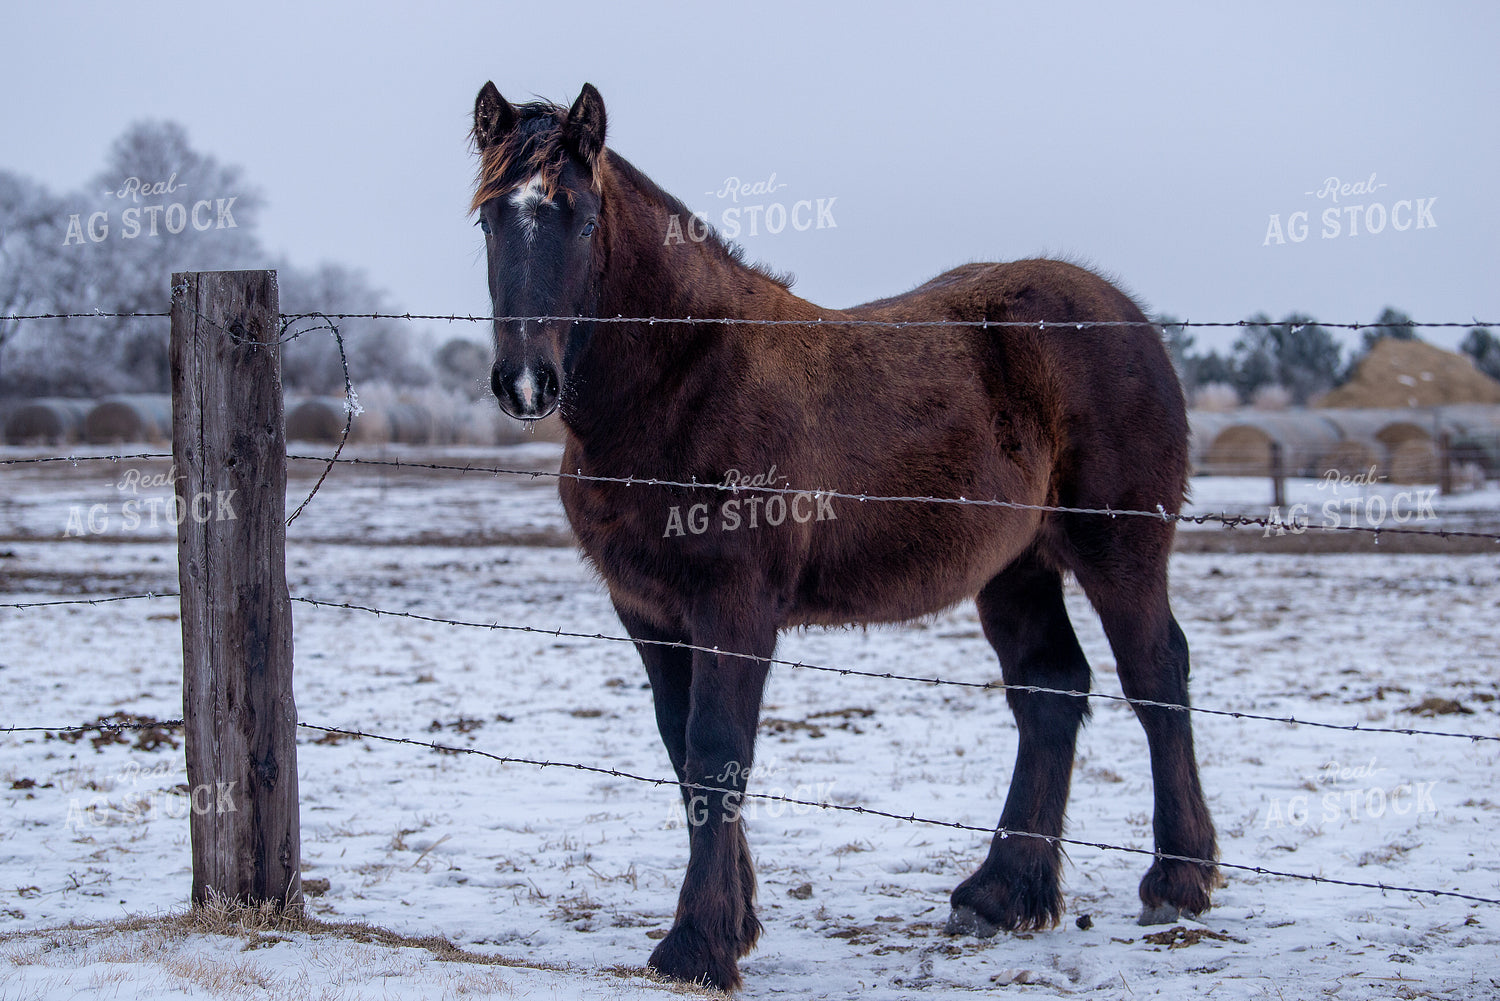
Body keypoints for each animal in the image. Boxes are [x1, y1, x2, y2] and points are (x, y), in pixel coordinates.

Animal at [469, 81, 1218, 991]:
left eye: (579, 220)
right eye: (489, 220)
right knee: (1050, 689)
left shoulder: (735, 607)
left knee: (1156, 677)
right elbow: (683, 752)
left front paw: (700, 945)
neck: (684, 379)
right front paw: (736, 920)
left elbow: (717, 750)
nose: (525, 382)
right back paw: (1002, 892)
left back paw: (1177, 879)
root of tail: (1129, 318)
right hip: (1015, 569)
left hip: (1120, 552)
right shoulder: (646, 611)